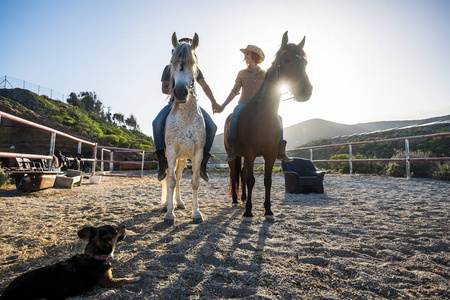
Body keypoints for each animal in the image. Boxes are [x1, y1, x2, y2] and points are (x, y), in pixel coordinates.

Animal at [0, 225, 140, 300]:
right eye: (115, 230)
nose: (125, 226)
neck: (95, 256)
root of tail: (5, 293)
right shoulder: (109, 282)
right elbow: (124, 279)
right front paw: (136, 278)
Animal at [225, 31, 312, 221]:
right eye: (286, 59)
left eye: (305, 62)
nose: (306, 91)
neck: (262, 116)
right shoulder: (250, 153)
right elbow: (251, 180)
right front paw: (248, 211)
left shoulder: (270, 155)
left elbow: (267, 181)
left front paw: (268, 210)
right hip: (234, 155)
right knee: (235, 174)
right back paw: (235, 200)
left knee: (242, 173)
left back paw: (243, 199)